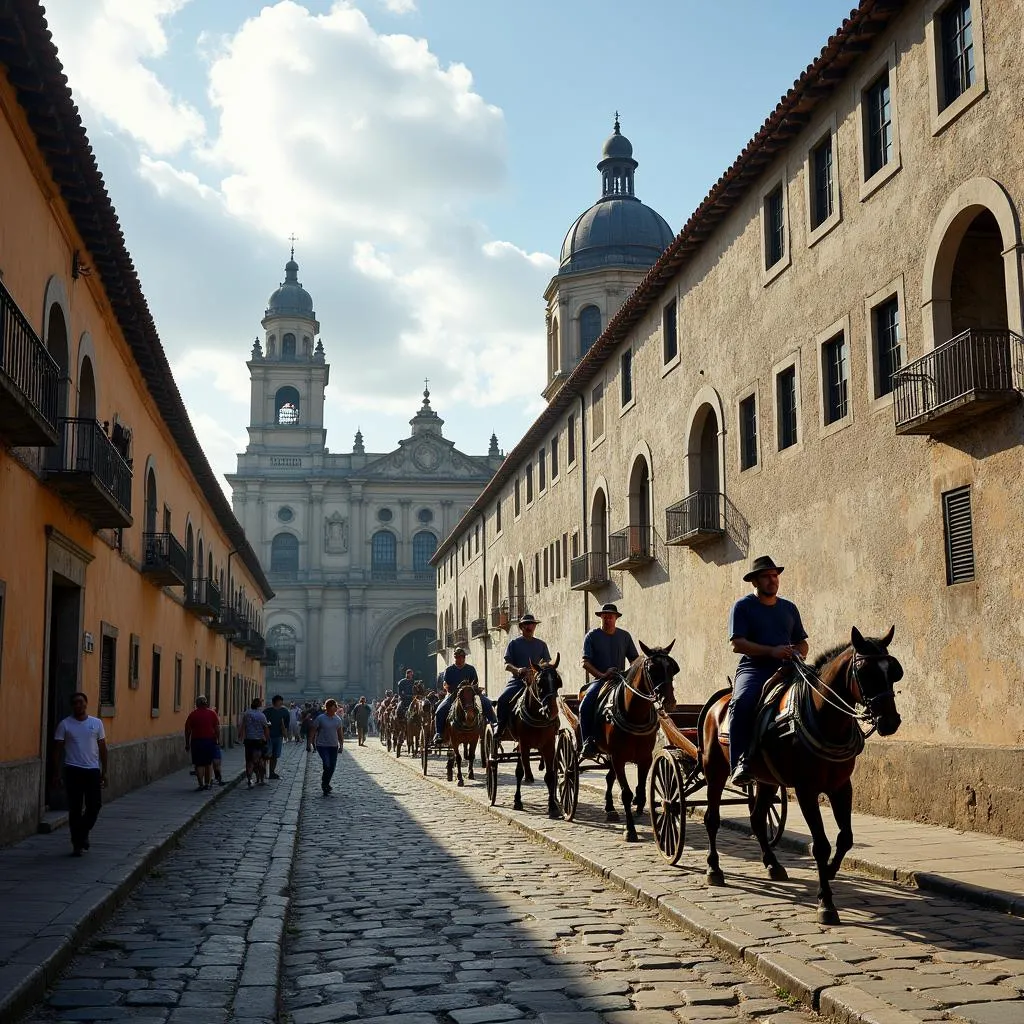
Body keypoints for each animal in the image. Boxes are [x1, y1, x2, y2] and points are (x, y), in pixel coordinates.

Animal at [505, 659, 565, 819]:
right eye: (540, 683)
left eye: (557, 682)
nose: (553, 711)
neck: (537, 716)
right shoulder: (523, 744)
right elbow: (522, 771)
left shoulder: (549, 745)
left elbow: (550, 776)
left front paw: (553, 806)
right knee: (519, 771)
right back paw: (518, 800)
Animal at [585, 643, 679, 843]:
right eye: (652, 669)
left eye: (673, 669)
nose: (669, 702)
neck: (634, 715)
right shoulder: (618, 757)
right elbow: (626, 793)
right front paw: (630, 830)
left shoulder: (644, 758)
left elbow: (641, 792)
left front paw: (640, 809)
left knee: (609, 777)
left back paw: (610, 808)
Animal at [704, 626, 905, 925]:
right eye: (865, 672)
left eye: (893, 671)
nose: (890, 721)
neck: (825, 719)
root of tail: (719, 700)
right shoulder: (805, 789)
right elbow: (820, 845)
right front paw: (826, 902)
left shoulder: (841, 786)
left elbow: (845, 838)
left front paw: (831, 872)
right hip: (714, 771)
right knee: (712, 818)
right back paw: (714, 868)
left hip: (766, 780)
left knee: (757, 819)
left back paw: (773, 864)